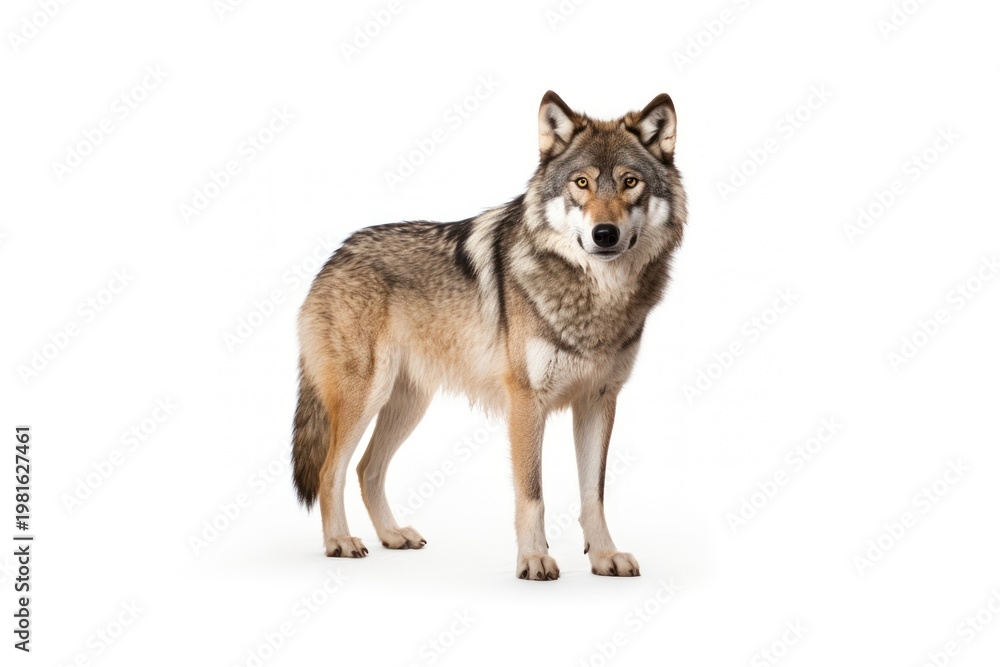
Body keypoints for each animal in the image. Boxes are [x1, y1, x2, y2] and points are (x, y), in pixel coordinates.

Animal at [292, 91, 686, 580]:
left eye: (630, 182)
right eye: (581, 183)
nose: (605, 234)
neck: (595, 298)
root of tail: (335, 255)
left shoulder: (599, 401)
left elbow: (593, 495)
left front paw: (604, 556)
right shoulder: (526, 402)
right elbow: (532, 494)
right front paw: (534, 559)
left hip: (407, 404)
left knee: (368, 469)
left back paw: (393, 535)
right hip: (365, 396)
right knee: (331, 471)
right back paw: (340, 542)